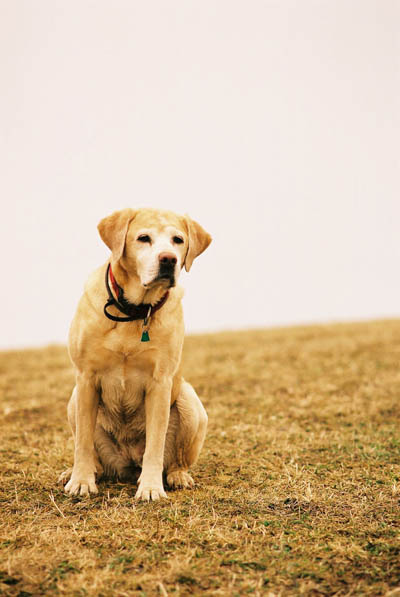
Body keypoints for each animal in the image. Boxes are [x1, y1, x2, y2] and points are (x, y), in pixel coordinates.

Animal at [59, 207, 212, 500]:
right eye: (144, 238)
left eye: (178, 240)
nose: (169, 259)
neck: (135, 311)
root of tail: (126, 462)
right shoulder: (85, 379)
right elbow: (82, 442)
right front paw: (81, 481)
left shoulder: (160, 383)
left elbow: (155, 443)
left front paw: (151, 487)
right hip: (73, 399)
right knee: (92, 454)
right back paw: (78, 472)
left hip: (190, 401)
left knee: (174, 460)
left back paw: (177, 476)